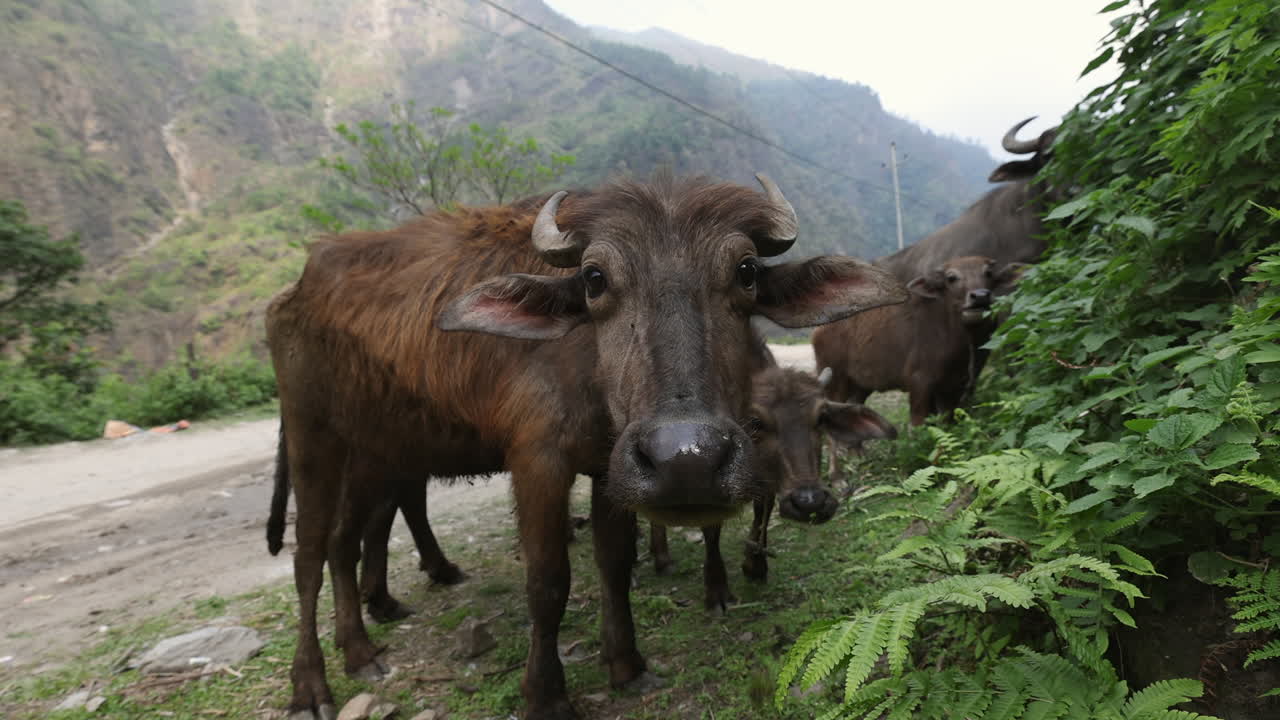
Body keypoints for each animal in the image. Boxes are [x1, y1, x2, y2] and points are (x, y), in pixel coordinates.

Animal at [266, 173, 907, 719]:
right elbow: (548, 581)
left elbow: (615, 564)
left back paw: (359, 649)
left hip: (375, 452)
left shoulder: (609, 469)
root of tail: (292, 295)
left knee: (345, 545)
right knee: (308, 557)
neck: (587, 370)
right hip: (312, 436)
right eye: (595, 279)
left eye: (746, 272)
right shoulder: (537, 462)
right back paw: (312, 684)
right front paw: (546, 694)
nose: (688, 461)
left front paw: (626, 663)